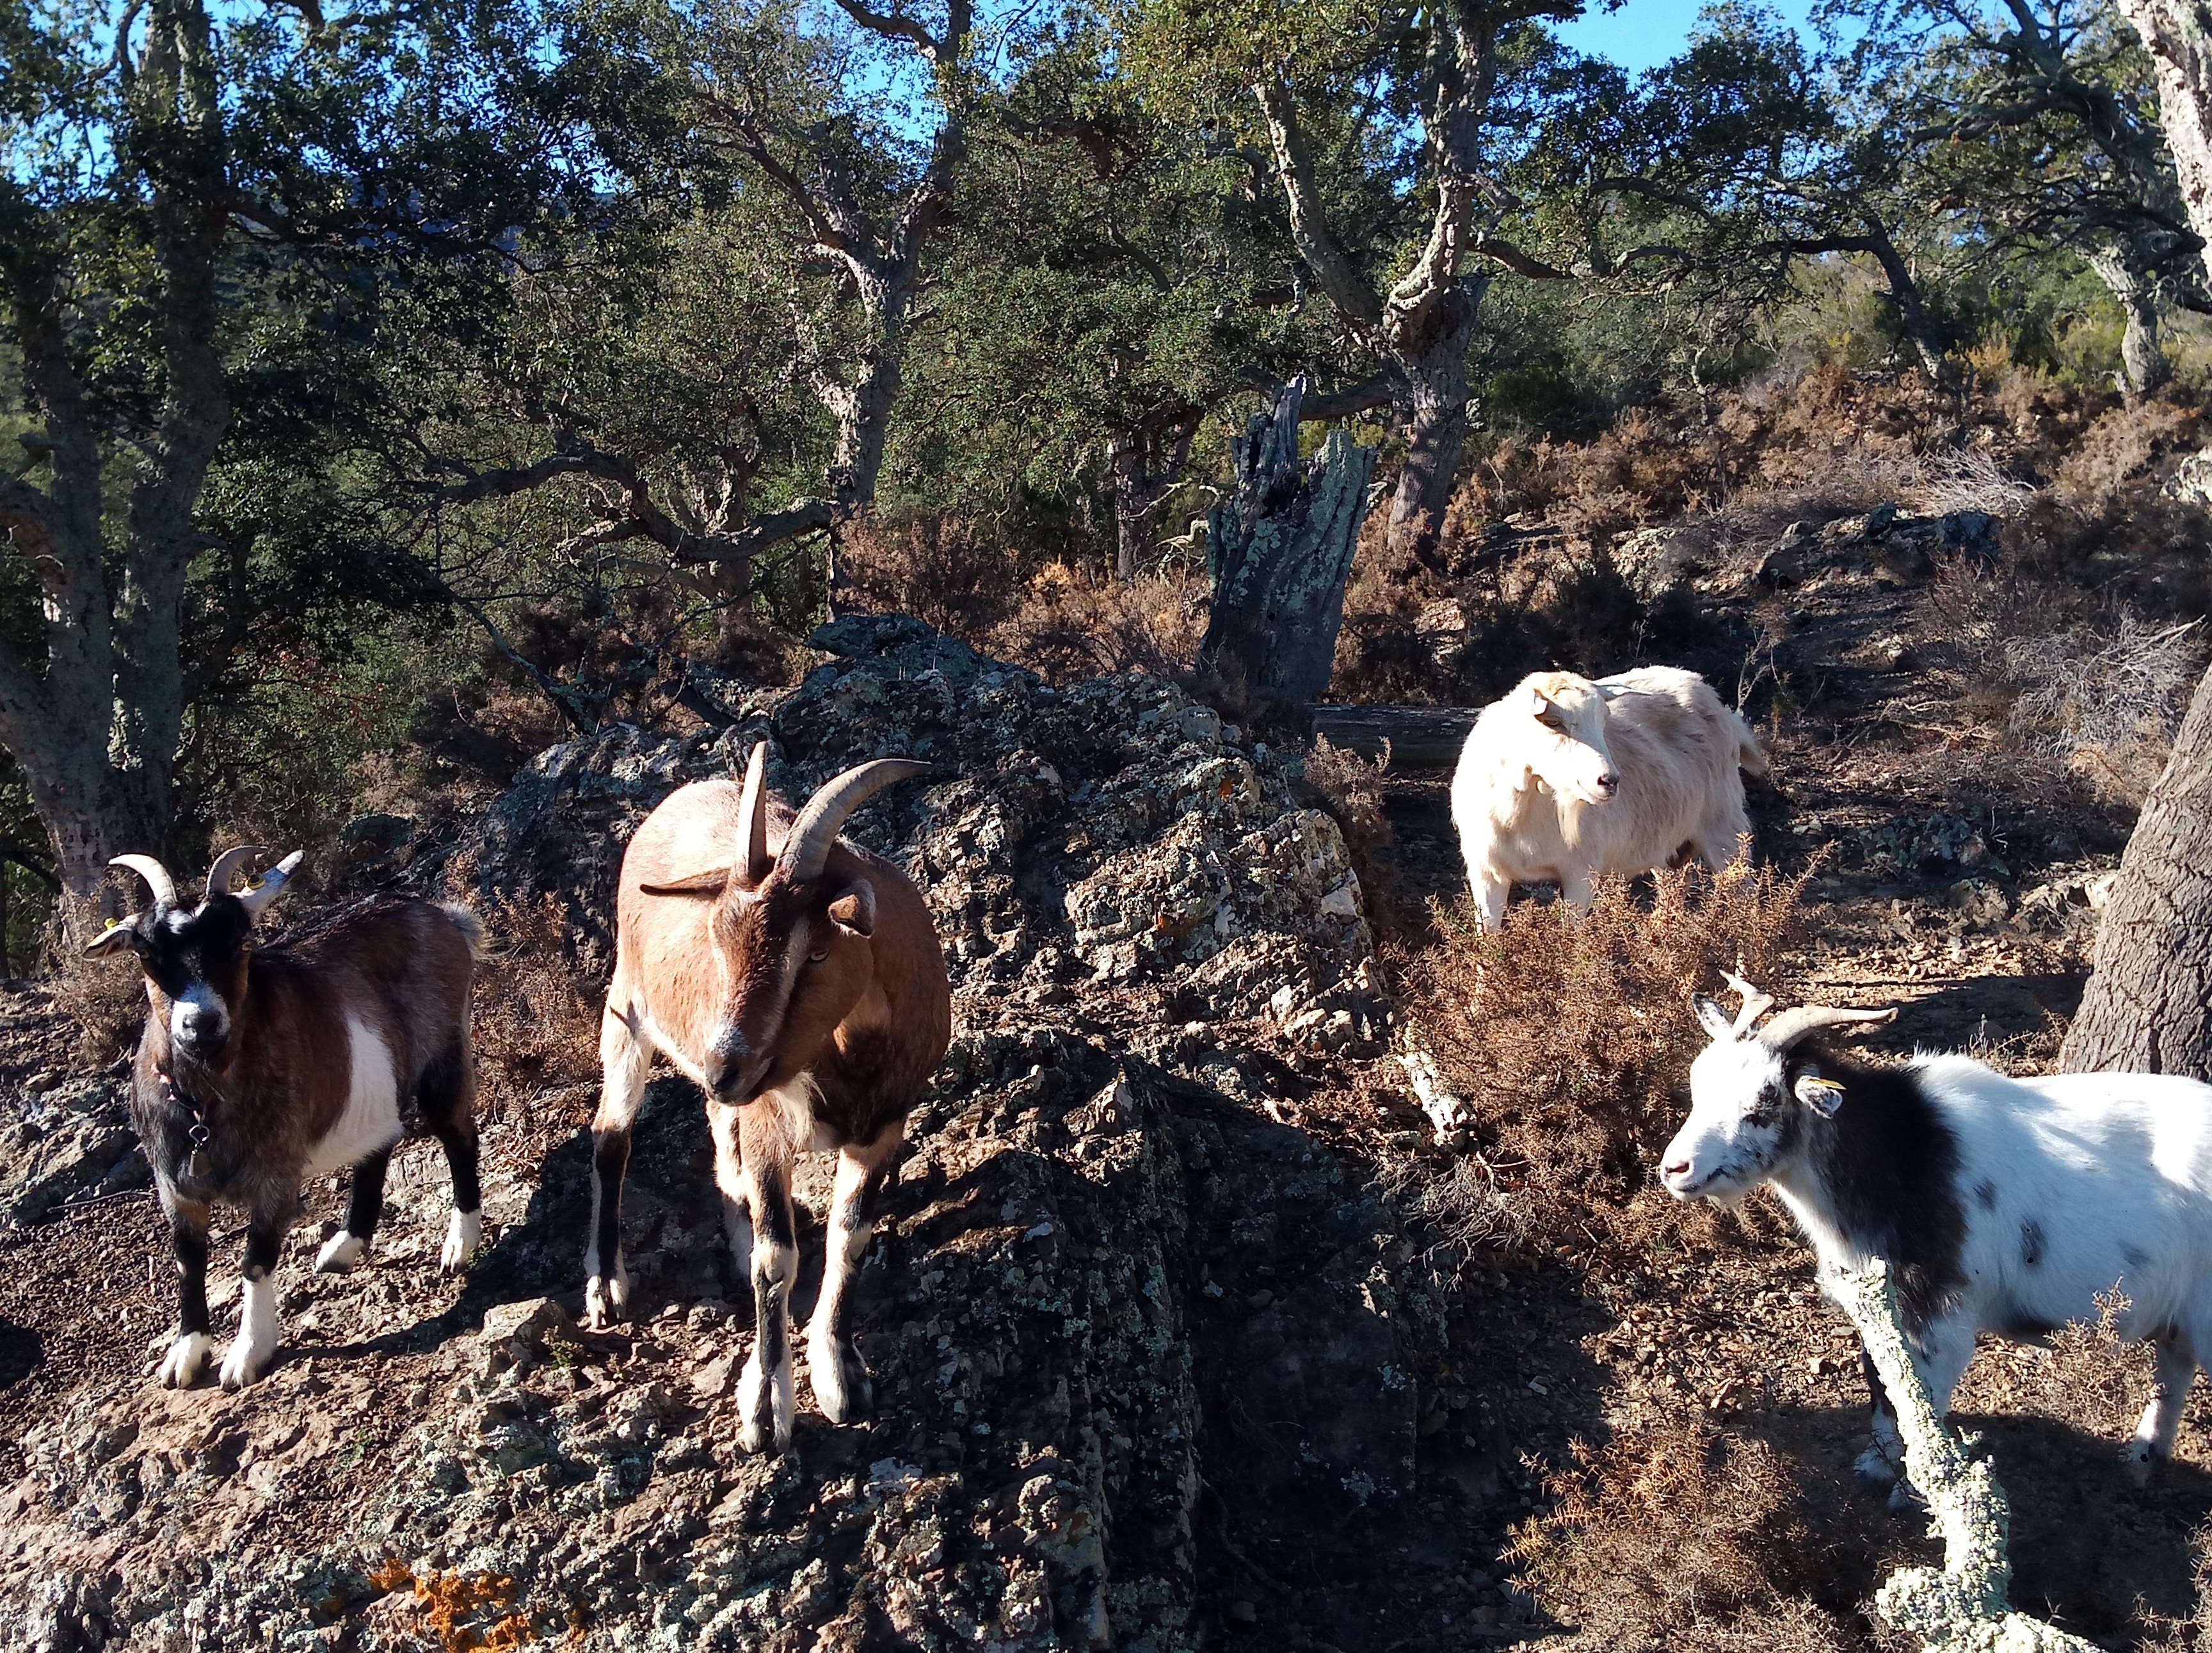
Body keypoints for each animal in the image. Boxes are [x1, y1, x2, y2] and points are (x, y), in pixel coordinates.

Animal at [87, 849, 483, 1390]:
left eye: (241, 942)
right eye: (147, 953)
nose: (202, 1025)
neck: (205, 1105)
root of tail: (441, 916)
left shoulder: (276, 1175)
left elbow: (255, 1261)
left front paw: (247, 1354)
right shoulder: (174, 1185)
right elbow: (189, 1263)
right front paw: (186, 1353)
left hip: (444, 1057)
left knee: (459, 1136)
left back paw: (459, 1245)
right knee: (381, 1141)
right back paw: (344, 1246)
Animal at [588, 742, 950, 1455]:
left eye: (816, 953)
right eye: (719, 940)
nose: (722, 1067)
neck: (850, 1058)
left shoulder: (885, 1126)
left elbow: (849, 1237)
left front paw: (839, 1369)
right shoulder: (768, 1124)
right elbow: (778, 1259)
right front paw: (764, 1403)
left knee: (715, 1134)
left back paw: (733, 1228)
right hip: (627, 1012)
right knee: (611, 1139)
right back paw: (607, 1283)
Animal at [1450, 666, 1766, 928]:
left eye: (1604, 722)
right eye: (1553, 721)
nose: (1610, 781)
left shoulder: (1580, 872)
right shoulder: (1486, 874)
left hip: (1724, 825)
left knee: (1746, 899)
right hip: (1669, 844)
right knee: (1674, 890)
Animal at [1661, 975, 2212, 1489]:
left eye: (1765, 1102)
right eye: (1697, 1083)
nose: (1675, 1168)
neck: (1903, 1150)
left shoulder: (1938, 1308)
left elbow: (1922, 1396)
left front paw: (1916, 1486)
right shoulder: (1879, 1303)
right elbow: (1882, 1381)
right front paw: (1877, 1465)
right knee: (2174, 1368)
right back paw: (2141, 1461)